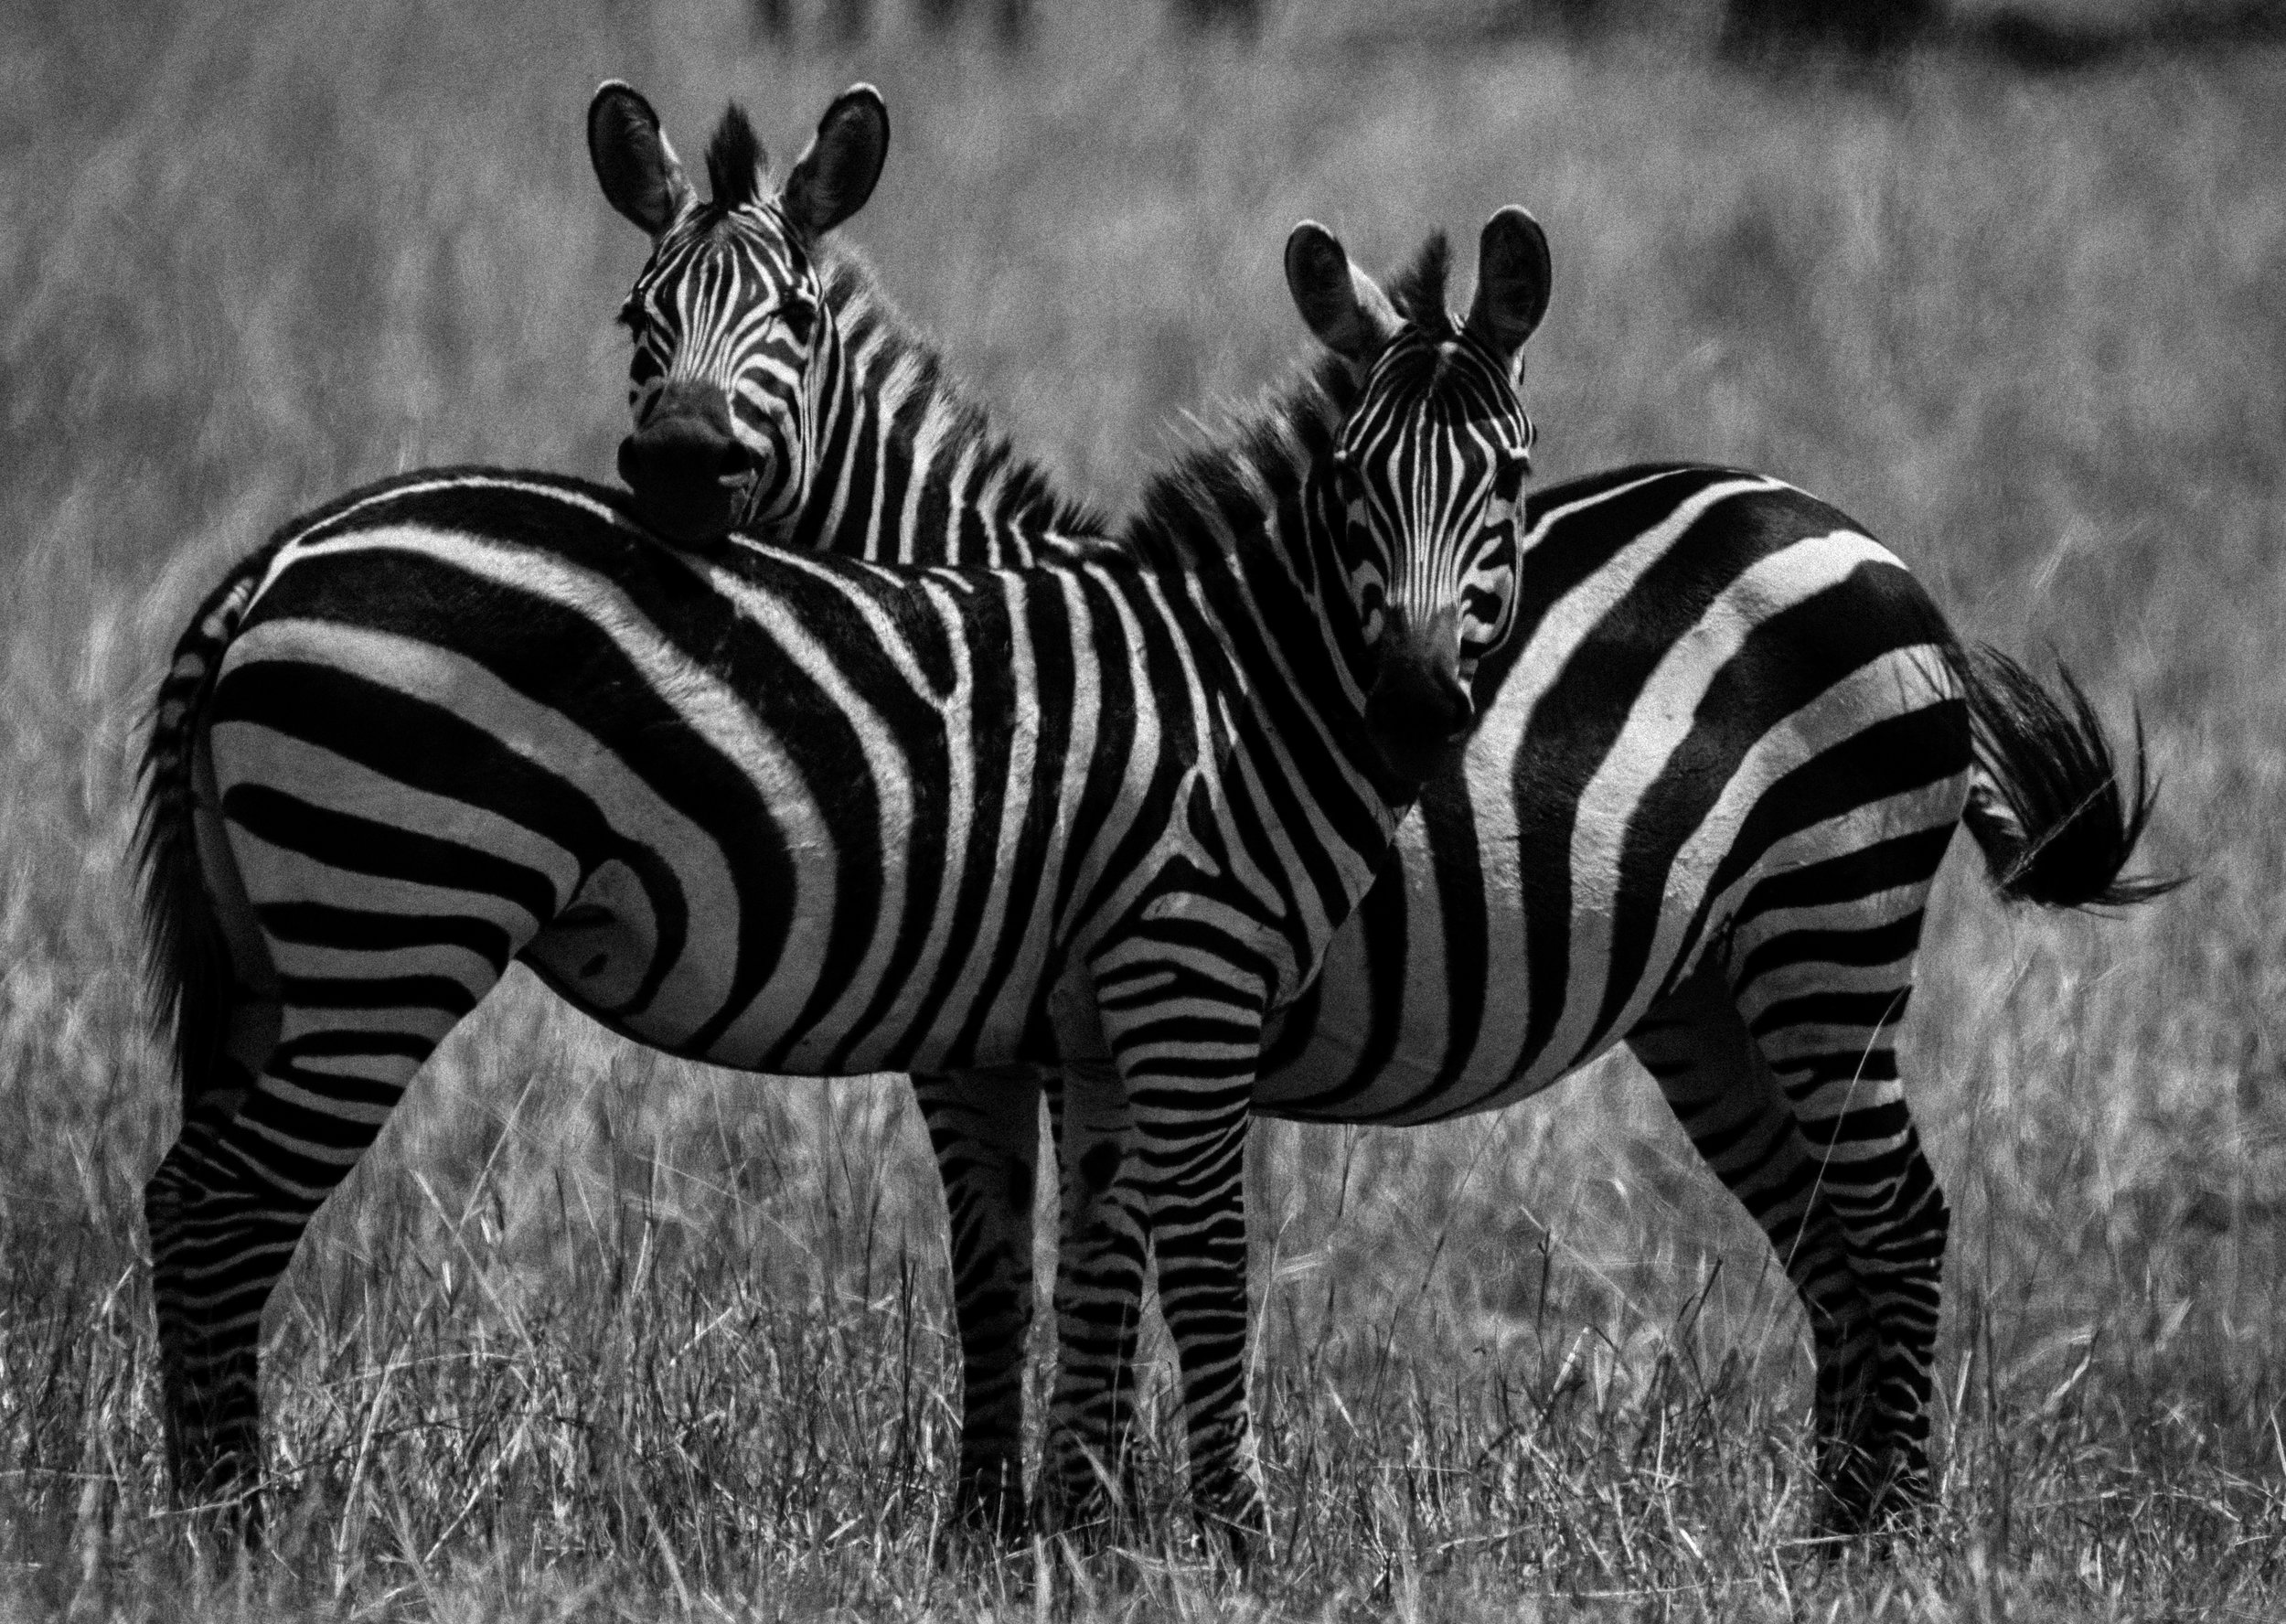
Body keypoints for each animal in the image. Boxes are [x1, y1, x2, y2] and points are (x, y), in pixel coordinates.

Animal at [134, 188, 1556, 1553]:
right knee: (222, 1207)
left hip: (279, 954)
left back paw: (202, 1517)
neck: (1235, 688)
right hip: (392, 922)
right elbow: (1207, 1271)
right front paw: (1241, 1545)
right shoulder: (1188, 974)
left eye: (1510, 478)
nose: (1418, 706)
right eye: (1350, 480)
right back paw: (232, 1531)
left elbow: (1096, 1266)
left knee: (181, 1201)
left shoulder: (1095, 1020)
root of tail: (278, 557)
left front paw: (1084, 1541)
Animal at [582, 88, 2168, 1539]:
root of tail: (1849, 531)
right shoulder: (994, 1037)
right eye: (633, 319)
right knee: (1829, 1231)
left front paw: (1076, 1524)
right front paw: (1010, 1527)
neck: (994, 647)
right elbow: (1010, 1276)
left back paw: (1891, 1534)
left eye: (793, 316)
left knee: (1897, 1218)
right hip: (1713, 993)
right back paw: (1828, 1529)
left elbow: (1094, 1265)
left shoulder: (1105, 1001)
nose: (679, 467)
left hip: (1829, 925)